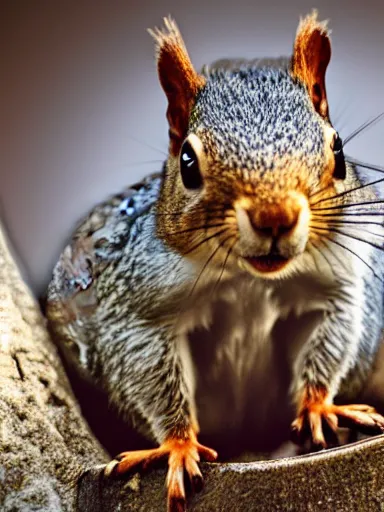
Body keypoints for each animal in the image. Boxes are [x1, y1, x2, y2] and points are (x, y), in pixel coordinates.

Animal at [45, 11, 384, 512]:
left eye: (338, 149)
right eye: (187, 161)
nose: (274, 216)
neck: (250, 279)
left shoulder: (334, 284)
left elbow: (329, 343)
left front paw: (320, 406)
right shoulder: (139, 309)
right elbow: (152, 373)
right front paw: (177, 446)